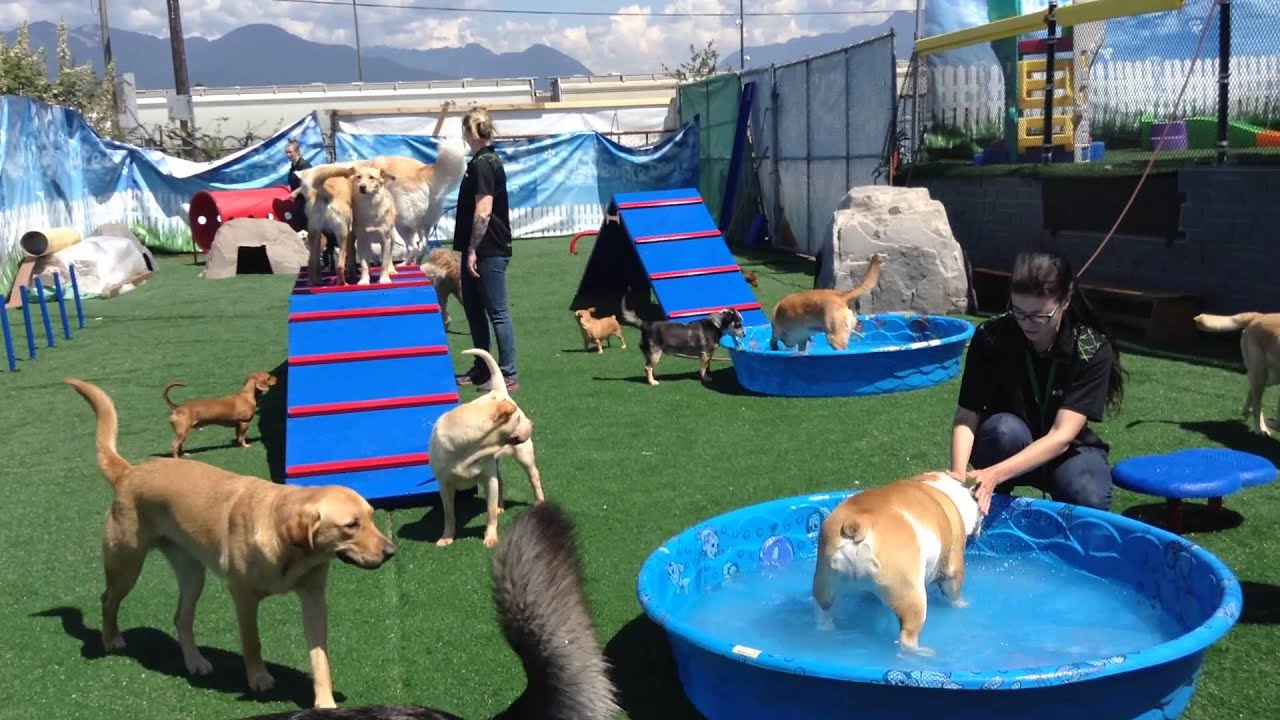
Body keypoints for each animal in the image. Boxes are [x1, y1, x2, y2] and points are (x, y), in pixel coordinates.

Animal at [65, 378, 397, 709]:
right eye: (351, 525)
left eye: (372, 516)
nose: (391, 552)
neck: (288, 549)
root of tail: (129, 471)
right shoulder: (243, 596)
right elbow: (252, 642)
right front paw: (259, 679)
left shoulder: (314, 598)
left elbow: (320, 657)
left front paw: (325, 702)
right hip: (126, 564)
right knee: (108, 599)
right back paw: (111, 639)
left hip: (192, 574)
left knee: (181, 618)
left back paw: (195, 662)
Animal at [429, 348, 544, 548]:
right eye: (518, 419)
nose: (531, 423)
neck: (468, 451)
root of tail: (498, 390)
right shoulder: (444, 485)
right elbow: (449, 514)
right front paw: (447, 537)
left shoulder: (489, 480)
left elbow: (489, 513)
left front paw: (490, 537)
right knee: (502, 482)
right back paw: (500, 506)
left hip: (524, 457)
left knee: (534, 478)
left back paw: (539, 502)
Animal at [812, 472, 981, 657]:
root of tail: (857, 522)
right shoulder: (953, 571)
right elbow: (954, 596)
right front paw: (963, 604)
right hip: (912, 597)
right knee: (907, 637)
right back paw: (921, 651)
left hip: (825, 584)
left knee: (823, 613)